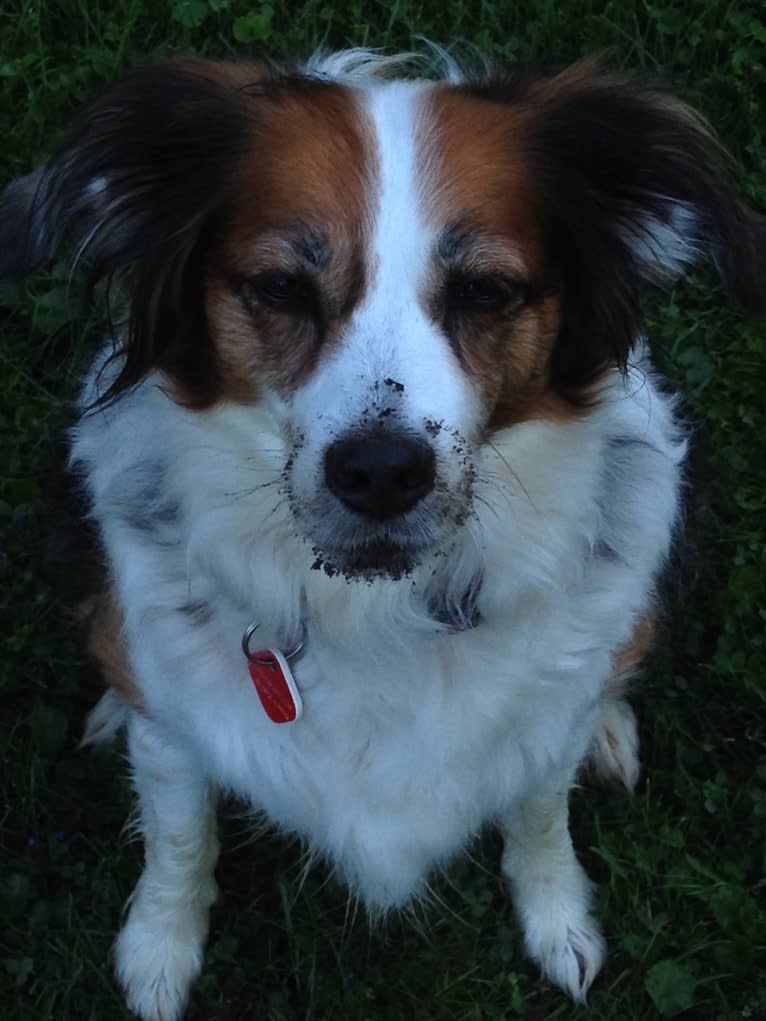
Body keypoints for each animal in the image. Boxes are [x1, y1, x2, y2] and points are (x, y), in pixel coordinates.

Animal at [3, 47, 763, 1021]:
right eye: (281, 287)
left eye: (486, 291)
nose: (380, 474)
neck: (373, 608)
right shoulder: (174, 731)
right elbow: (179, 831)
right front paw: (159, 949)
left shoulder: (542, 729)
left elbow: (538, 815)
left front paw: (560, 920)